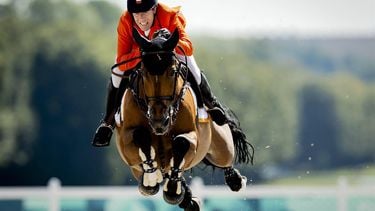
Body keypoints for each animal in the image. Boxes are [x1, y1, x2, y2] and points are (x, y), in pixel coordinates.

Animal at [114, 28, 256, 211]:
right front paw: (151, 179)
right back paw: (186, 198)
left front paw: (173, 188)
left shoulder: (192, 137)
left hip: (221, 147)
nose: (160, 121)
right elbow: (140, 136)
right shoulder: (126, 144)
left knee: (224, 159)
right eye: (144, 73)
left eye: (172, 72)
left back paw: (234, 180)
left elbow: (181, 143)